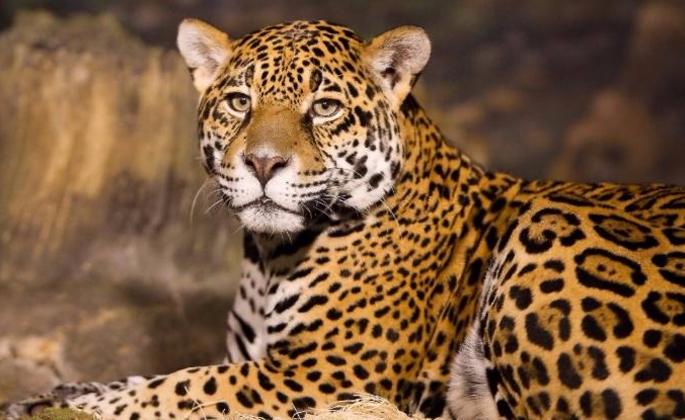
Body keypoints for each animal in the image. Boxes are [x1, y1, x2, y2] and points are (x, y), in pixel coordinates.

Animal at [6, 18, 685, 420]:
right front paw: (69, 392)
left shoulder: (323, 376)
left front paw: (81, 406)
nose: (262, 162)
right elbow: (158, 376)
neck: (269, 258)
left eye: (325, 107)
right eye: (239, 101)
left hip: (550, 227)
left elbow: (187, 386)